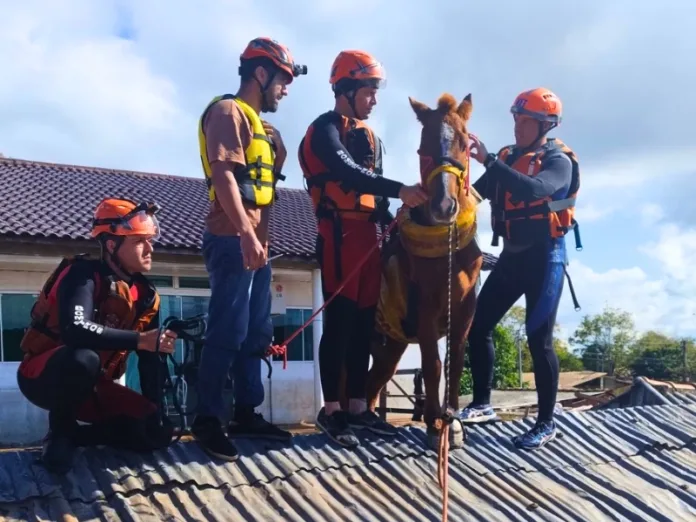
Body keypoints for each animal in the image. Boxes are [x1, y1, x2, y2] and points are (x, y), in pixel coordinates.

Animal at [364, 92, 484, 446]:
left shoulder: (465, 308)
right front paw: (435, 423)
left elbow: (455, 362)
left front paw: (453, 420)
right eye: (422, 147)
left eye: (464, 143)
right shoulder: (427, 308)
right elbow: (432, 363)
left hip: (392, 344)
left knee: (374, 381)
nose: (444, 207)